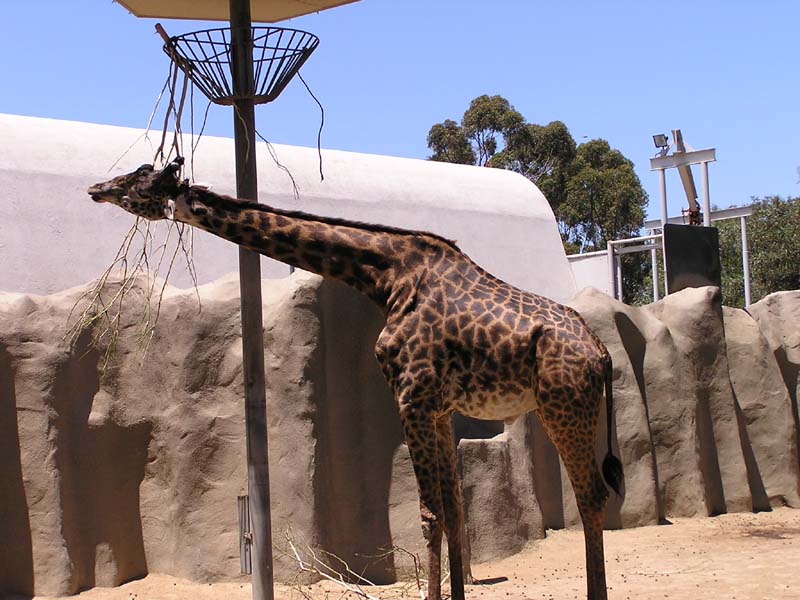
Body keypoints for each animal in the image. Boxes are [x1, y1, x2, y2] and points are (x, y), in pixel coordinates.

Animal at [88, 157, 624, 600]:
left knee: (591, 495)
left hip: (563, 407)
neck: (385, 278)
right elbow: (454, 510)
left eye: (142, 176)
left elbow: (429, 514)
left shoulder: (411, 395)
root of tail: (601, 353)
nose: (96, 187)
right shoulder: (439, 407)